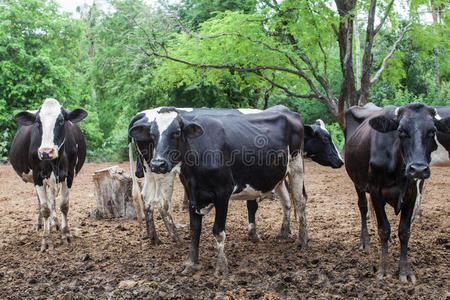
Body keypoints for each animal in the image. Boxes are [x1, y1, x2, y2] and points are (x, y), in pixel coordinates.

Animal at [9, 98, 87, 251]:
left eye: (61, 121)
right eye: (38, 122)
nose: (46, 152)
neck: (55, 161)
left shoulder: (69, 175)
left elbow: (64, 205)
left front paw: (66, 234)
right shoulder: (37, 176)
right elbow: (45, 208)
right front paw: (46, 240)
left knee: (52, 199)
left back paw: (54, 223)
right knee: (42, 202)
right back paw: (43, 224)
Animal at [129, 105, 306, 274]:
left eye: (177, 132)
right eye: (152, 134)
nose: (158, 163)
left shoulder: (223, 193)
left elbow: (218, 231)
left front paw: (221, 266)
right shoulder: (192, 194)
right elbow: (195, 230)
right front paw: (191, 263)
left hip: (296, 165)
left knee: (300, 201)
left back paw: (302, 241)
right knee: (287, 201)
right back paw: (284, 234)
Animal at [344, 102, 450, 282]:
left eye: (433, 131)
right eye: (401, 131)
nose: (418, 169)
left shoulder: (412, 193)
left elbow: (404, 231)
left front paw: (404, 271)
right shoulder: (375, 190)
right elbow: (384, 229)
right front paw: (383, 269)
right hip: (357, 182)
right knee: (363, 207)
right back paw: (365, 241)